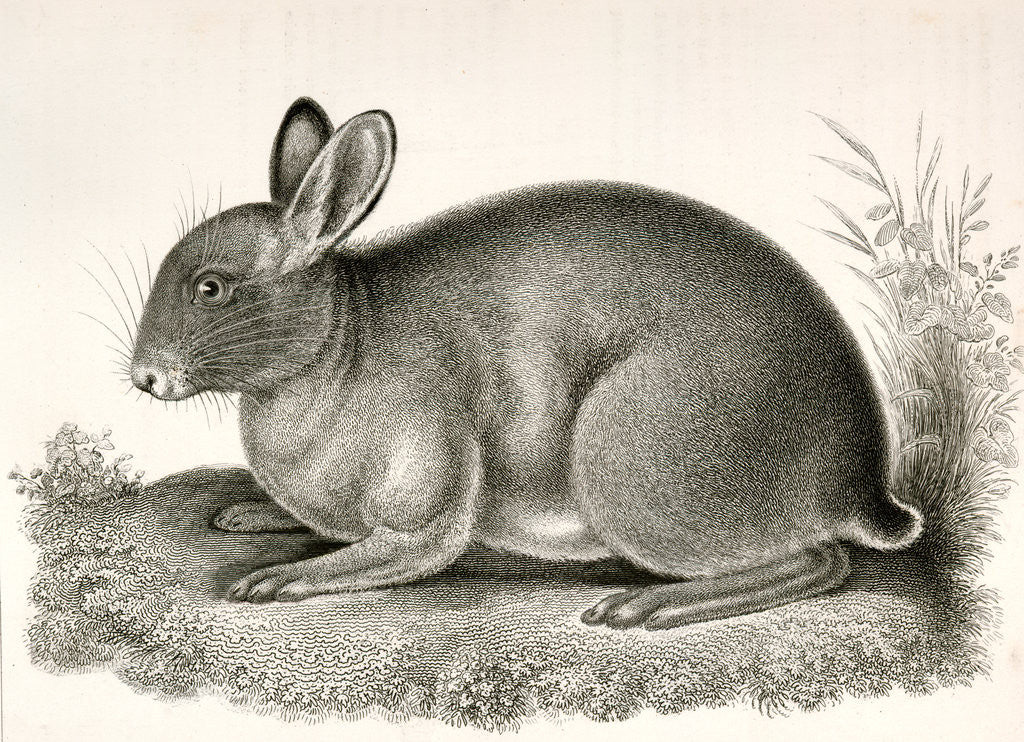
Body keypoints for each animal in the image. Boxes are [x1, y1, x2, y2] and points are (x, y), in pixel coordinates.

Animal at [129, 97, 922, 629]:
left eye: (212, 287)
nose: (145, 376)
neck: (336, 343)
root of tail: (860, 485)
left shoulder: (424, 512)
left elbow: (388, 552)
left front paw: (268, 581)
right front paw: (244, 514)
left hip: (633, 458)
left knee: (819, 561)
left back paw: (646, 605)